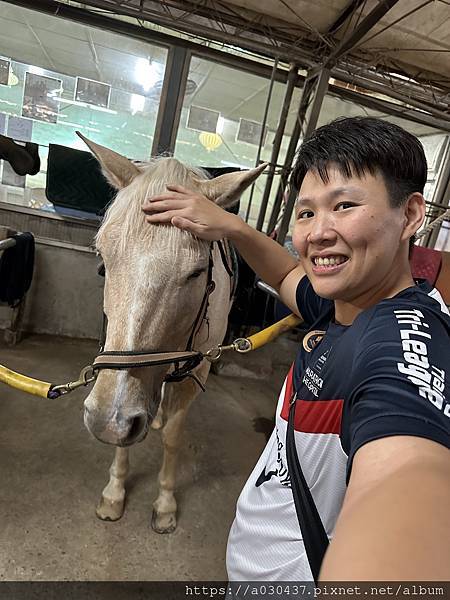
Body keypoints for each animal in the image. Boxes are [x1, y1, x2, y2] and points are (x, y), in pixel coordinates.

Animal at [79, 134, 266, 532]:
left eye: (196, 272)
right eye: (104, 259)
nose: (108, 421)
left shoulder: (198, 369)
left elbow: (173, 437)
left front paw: (165, 503)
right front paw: (115, 492)